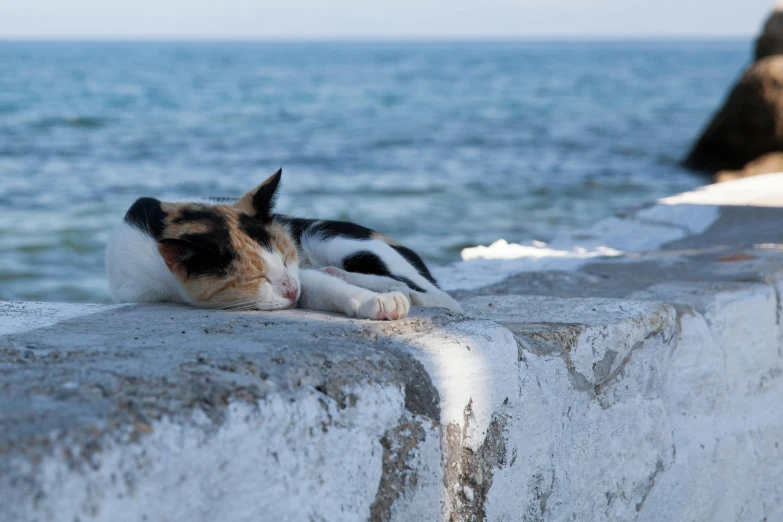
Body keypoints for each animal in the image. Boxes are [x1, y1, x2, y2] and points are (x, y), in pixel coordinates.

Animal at [104, 169, 460, 318]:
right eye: (255, 277)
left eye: (288, 258)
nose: (291, 288)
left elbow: (315, 283)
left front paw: (377, 301)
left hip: (332, 238)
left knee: (438, 295)